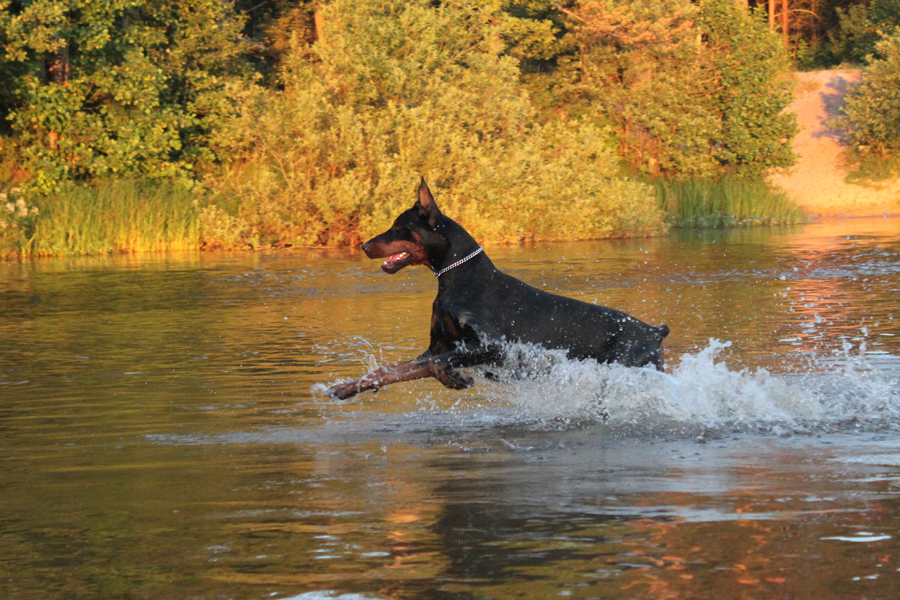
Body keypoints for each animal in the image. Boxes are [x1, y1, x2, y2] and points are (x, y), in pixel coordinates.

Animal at [326, 178, 669, 400]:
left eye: (400, 226)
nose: (364, 245)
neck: (459, 277)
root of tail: (655, 332)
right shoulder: (438, 346)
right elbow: (393, 370)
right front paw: (345, 388)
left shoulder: (494, 347)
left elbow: (436, 365)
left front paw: (456, 380)